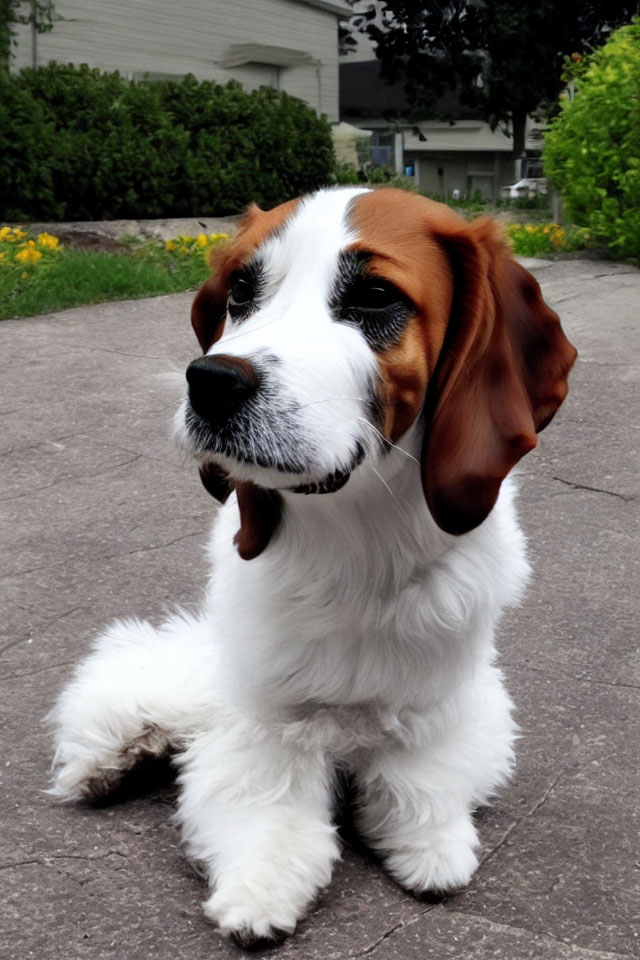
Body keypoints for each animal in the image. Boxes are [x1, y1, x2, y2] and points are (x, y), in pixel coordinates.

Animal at [50, 188, 576, 944]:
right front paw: (262, 885)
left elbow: (419, 776)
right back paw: (113, 758)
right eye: (242, 291)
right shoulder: (267, 717)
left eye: (375, 297)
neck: (356, 539)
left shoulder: (436, 698)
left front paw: (428, 841)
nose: (211, 381)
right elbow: (268, 803)